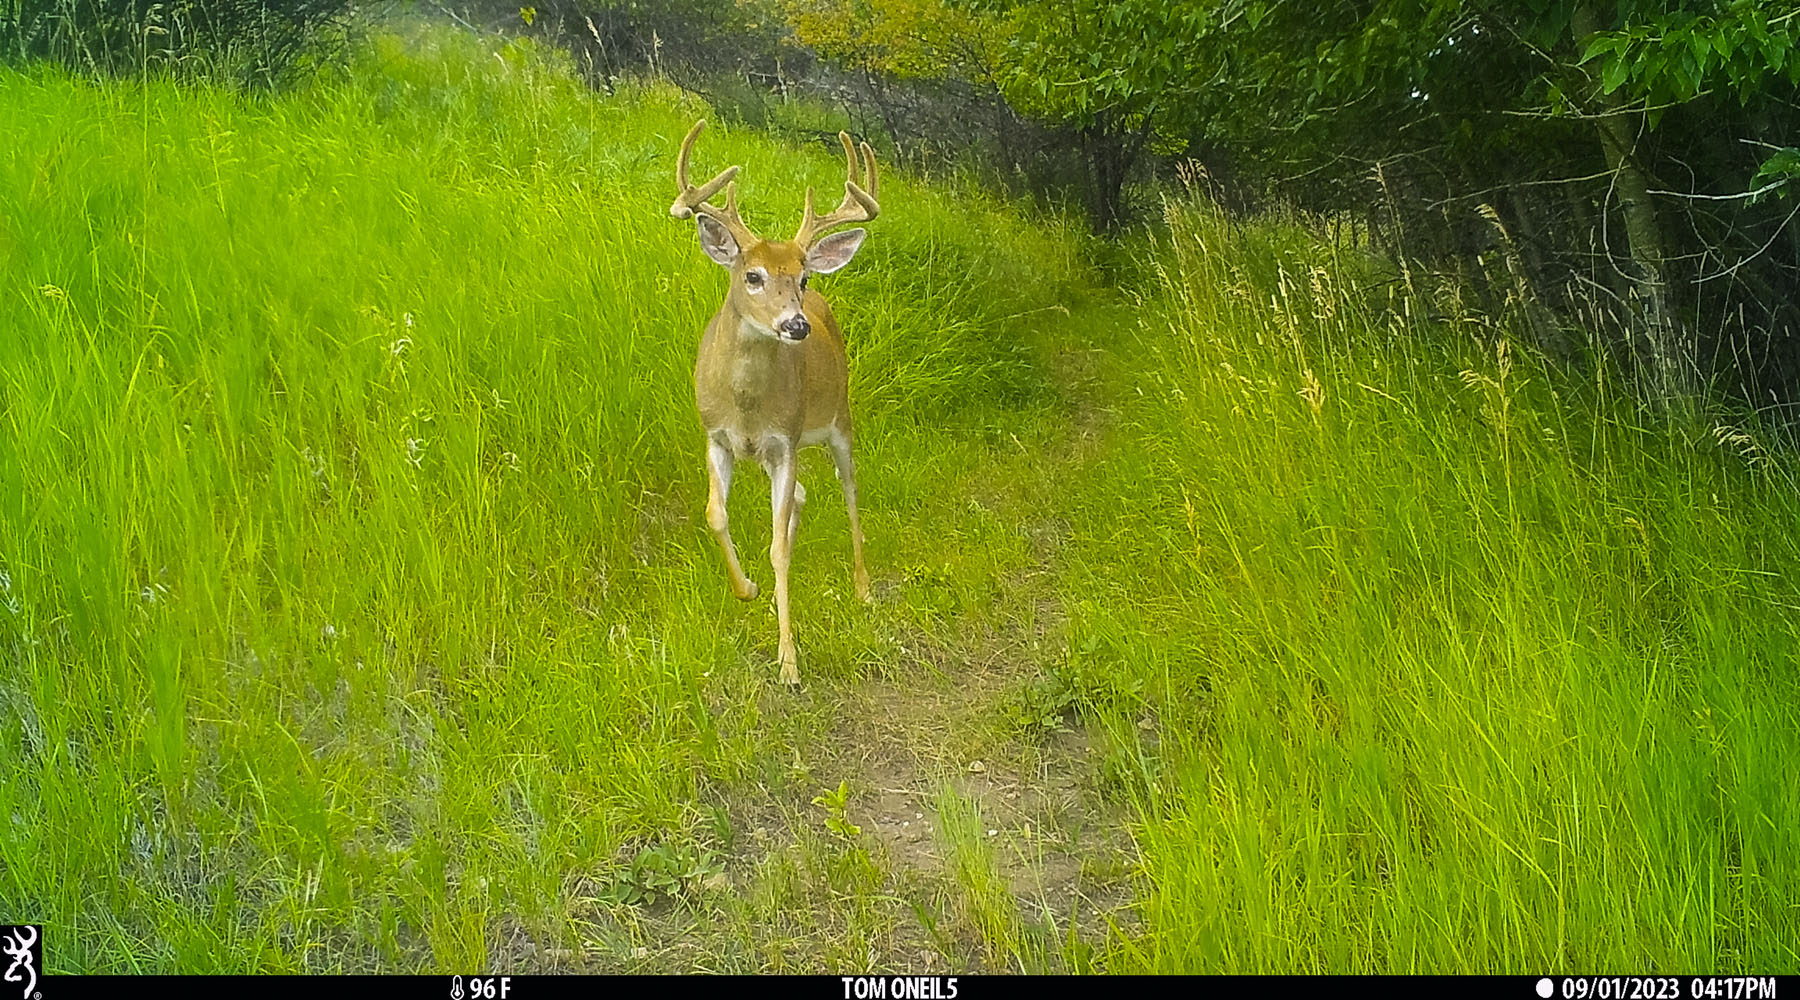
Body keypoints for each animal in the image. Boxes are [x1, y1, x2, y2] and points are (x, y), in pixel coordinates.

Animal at [669, 120, 879, 685]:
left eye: (801, 277)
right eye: (753, 275)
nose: (796, 325)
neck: (745, 405)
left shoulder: (784, 440)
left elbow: (779, 547)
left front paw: (789, 661)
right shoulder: (717, 437)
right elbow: (715, 515)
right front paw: (748, 589)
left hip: (839, 419)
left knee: (850, 494)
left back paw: (863, 588)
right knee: (803, 496)